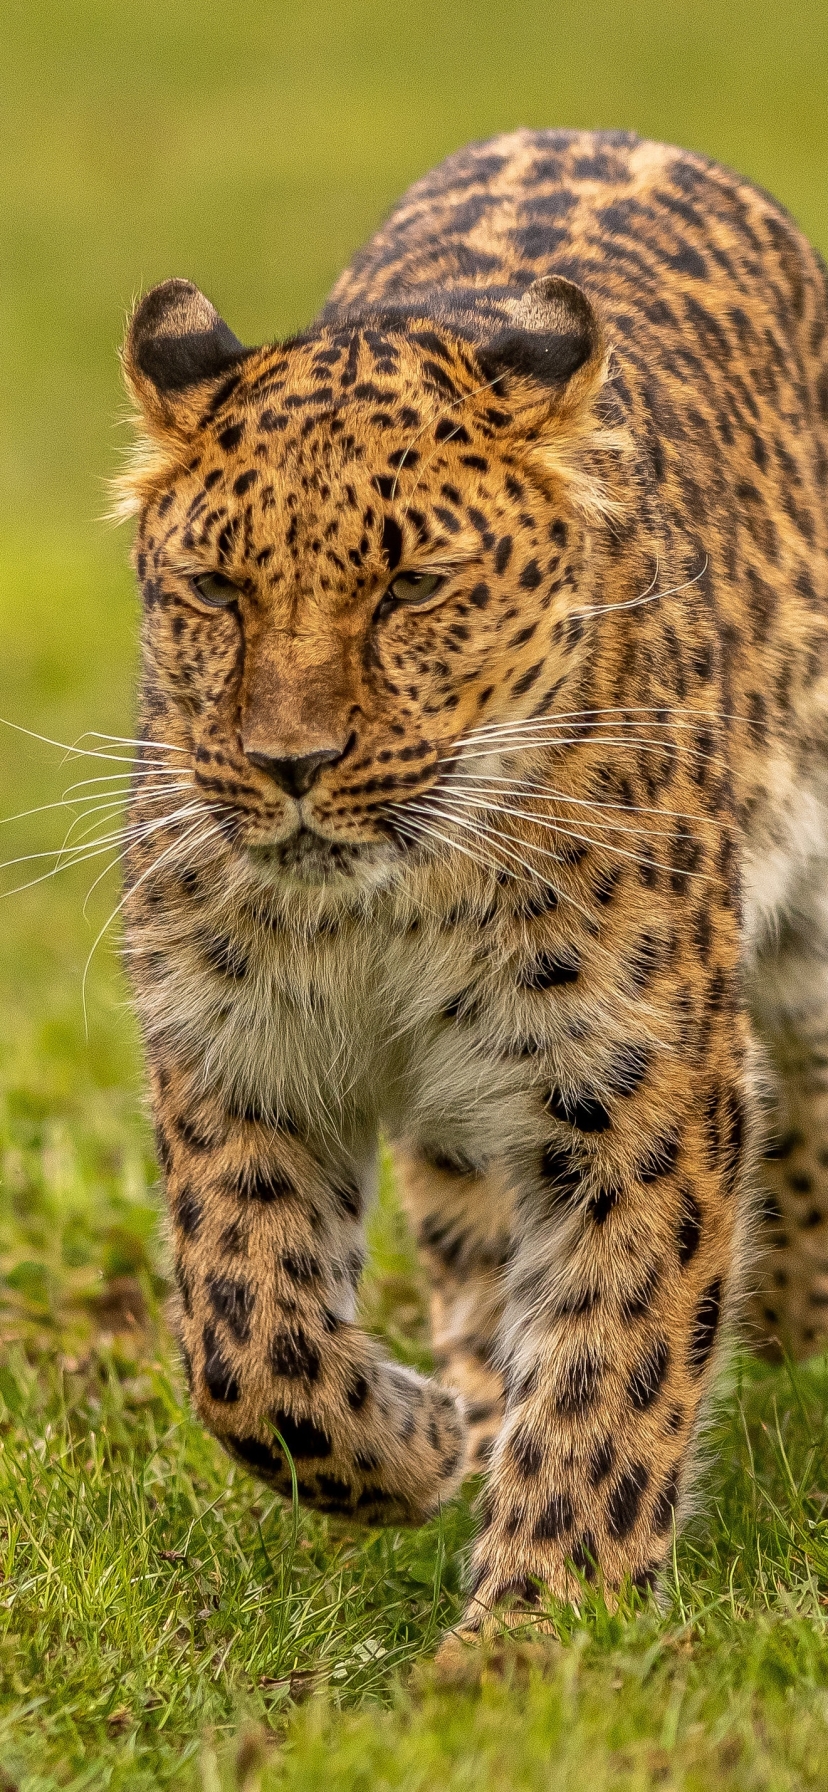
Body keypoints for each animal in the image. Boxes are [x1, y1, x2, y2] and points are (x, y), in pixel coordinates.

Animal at [114, 126, 828, 1641]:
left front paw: (535, 1631)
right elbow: (245, 1337)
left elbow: (617, 1361)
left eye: (412, 588)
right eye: (215, 590)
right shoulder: (237, 1048)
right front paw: (418, 1448)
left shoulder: (641, 1083)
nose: (290, 764)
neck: (391, 907)